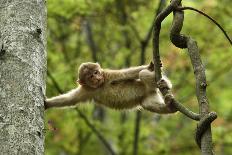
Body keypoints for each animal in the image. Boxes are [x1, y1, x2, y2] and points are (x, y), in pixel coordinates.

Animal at [44, 61, 176, 114]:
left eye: (96, 72)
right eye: (90, 76)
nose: (96, 78)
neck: (99, 86)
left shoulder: (107, 75)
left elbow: (127, 74)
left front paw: (150, 66)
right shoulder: (86, 90)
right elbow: (70, 99)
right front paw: (47, 104)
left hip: (149, 86)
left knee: (142, 74)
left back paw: (165, 84)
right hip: (149, 95)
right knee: (147, 104)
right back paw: (170, 107)